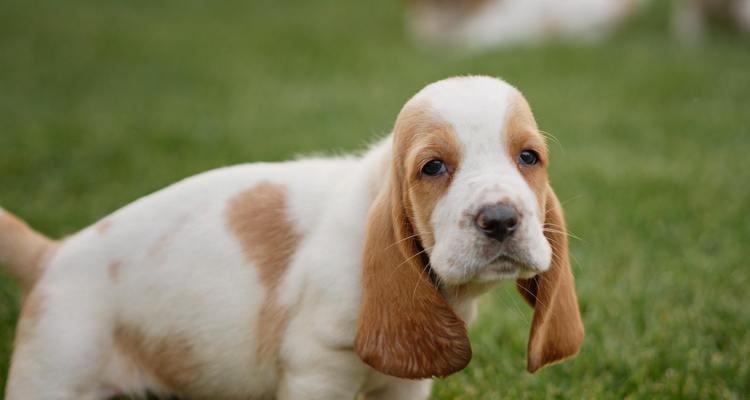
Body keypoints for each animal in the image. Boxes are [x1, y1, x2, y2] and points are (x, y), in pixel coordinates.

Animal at [0, 76, 588, 400]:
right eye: (433, 167)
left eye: (529, 157)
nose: (500, 219)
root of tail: (52, 255)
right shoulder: (317, 373)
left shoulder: (405, 385)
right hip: (53, 377)